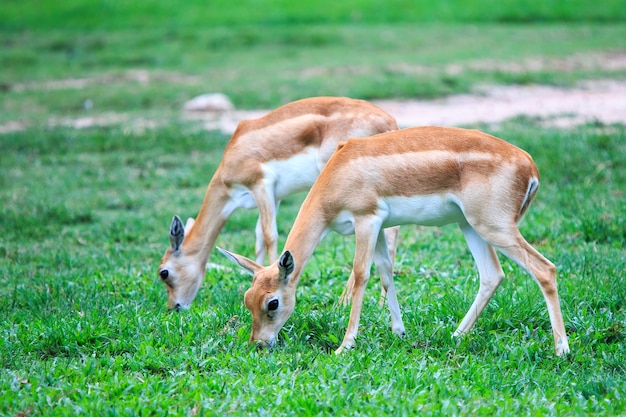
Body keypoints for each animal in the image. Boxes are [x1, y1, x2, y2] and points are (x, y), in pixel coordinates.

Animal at [158, 95, 398, 308]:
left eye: (164, 272)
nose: (174, 307)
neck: (233, 154)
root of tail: (389, 121)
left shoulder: (261, 184)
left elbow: (269, 235)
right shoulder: (276, 197)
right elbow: (258, 238)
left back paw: (345, 302)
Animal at [219, 126, 572, 354]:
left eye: (272, 302)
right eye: (246, 298)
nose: (258, 343)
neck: (338, 173)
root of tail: (530, 165)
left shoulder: (366, 220)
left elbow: (361, 275)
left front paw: (345, 346)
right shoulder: (378, 228)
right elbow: (387, 273)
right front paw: (399, 332)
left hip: (493, 227)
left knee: (545, 269)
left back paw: (561, 349)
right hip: (470, 226)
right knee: (492, 275)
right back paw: (455, 335)